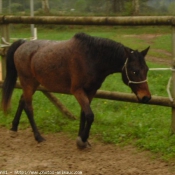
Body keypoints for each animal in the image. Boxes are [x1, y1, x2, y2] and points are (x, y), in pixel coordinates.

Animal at [1, 32, 150, 148]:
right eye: (134, 71)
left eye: (147, 69)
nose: (146, 97)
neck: (92, 57)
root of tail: (23, 44)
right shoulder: (77, 90)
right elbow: (90, 115)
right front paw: (82, 140)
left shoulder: (91, 91)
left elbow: (84, 113)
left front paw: (83, 139)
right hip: (28, 82)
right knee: (28, 107)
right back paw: (38, 137)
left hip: (34, 83)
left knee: (22, 101)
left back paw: (14, 127)